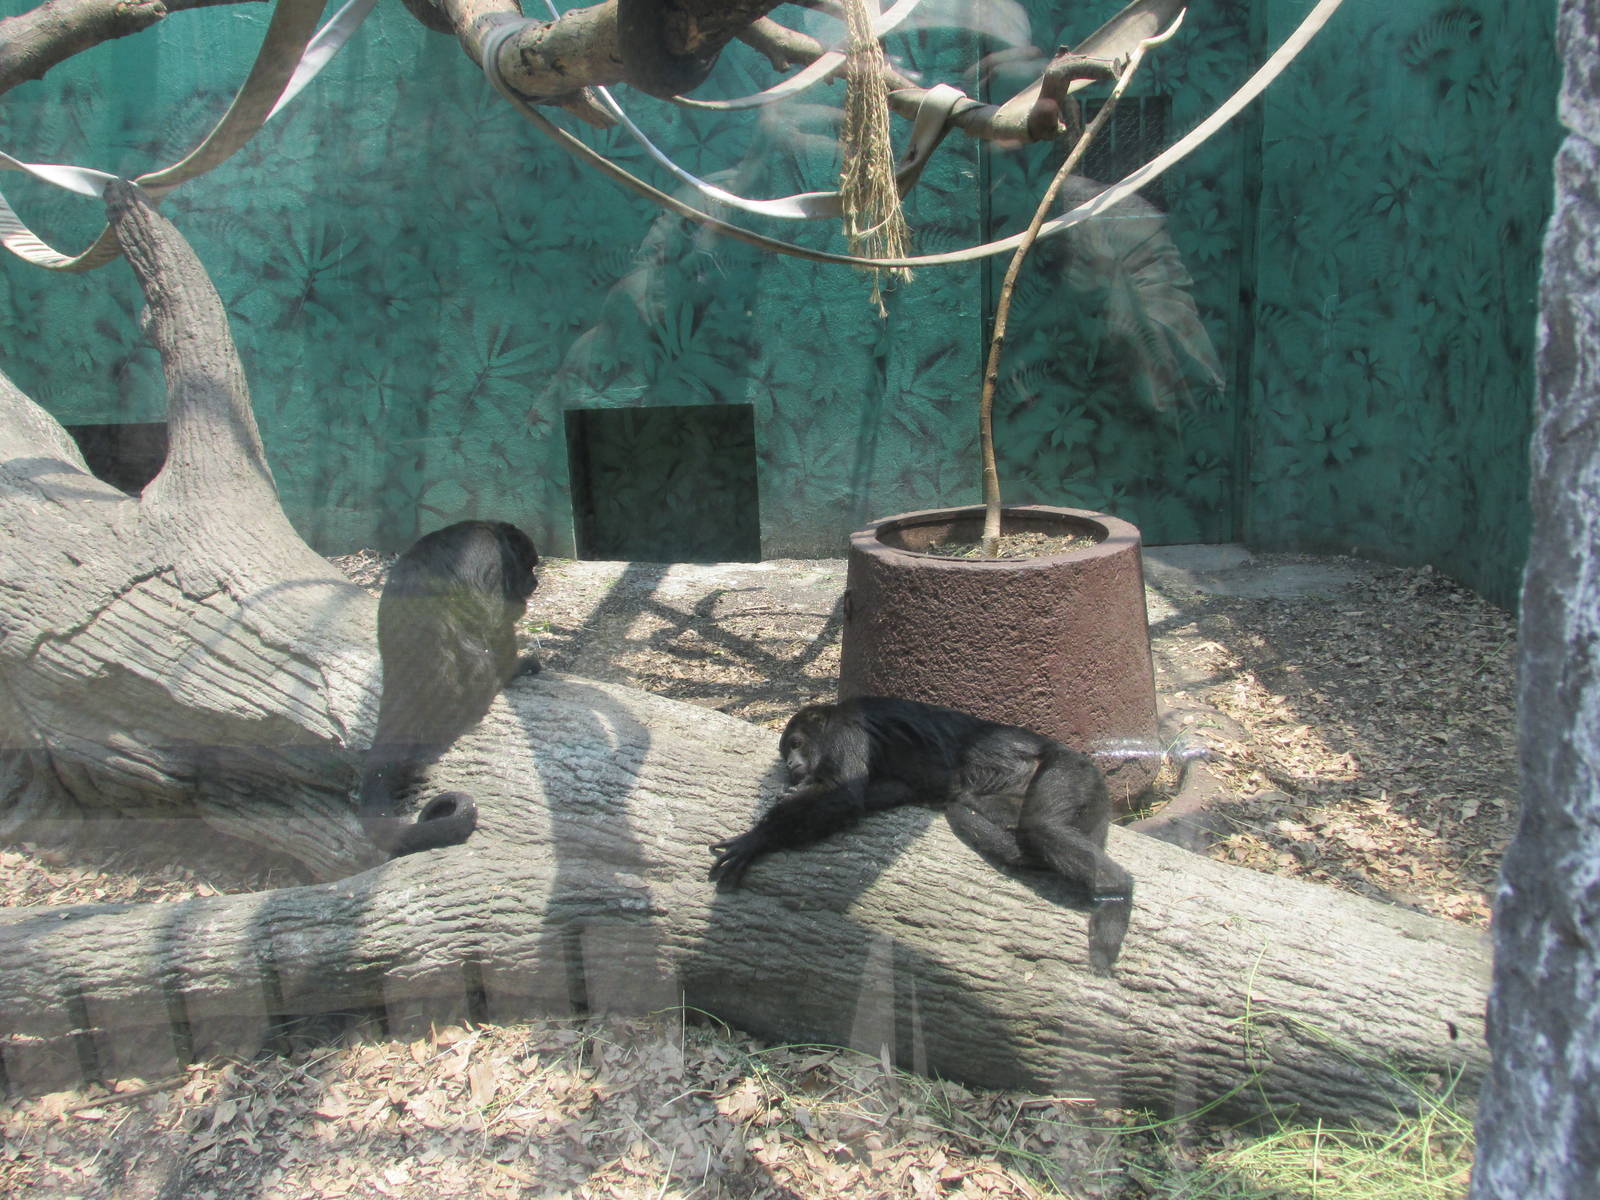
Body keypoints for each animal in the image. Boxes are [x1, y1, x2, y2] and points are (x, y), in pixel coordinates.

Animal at [709, 697, 1133, 973]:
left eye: (796, 745)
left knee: (1042, 827)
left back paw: (1116, 888)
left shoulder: (846, 729)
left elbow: (845, 792)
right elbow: (885, 791)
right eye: (788, 754)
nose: (794, 764)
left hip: (1067, 770)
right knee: (982, 812)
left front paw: (757, 839)